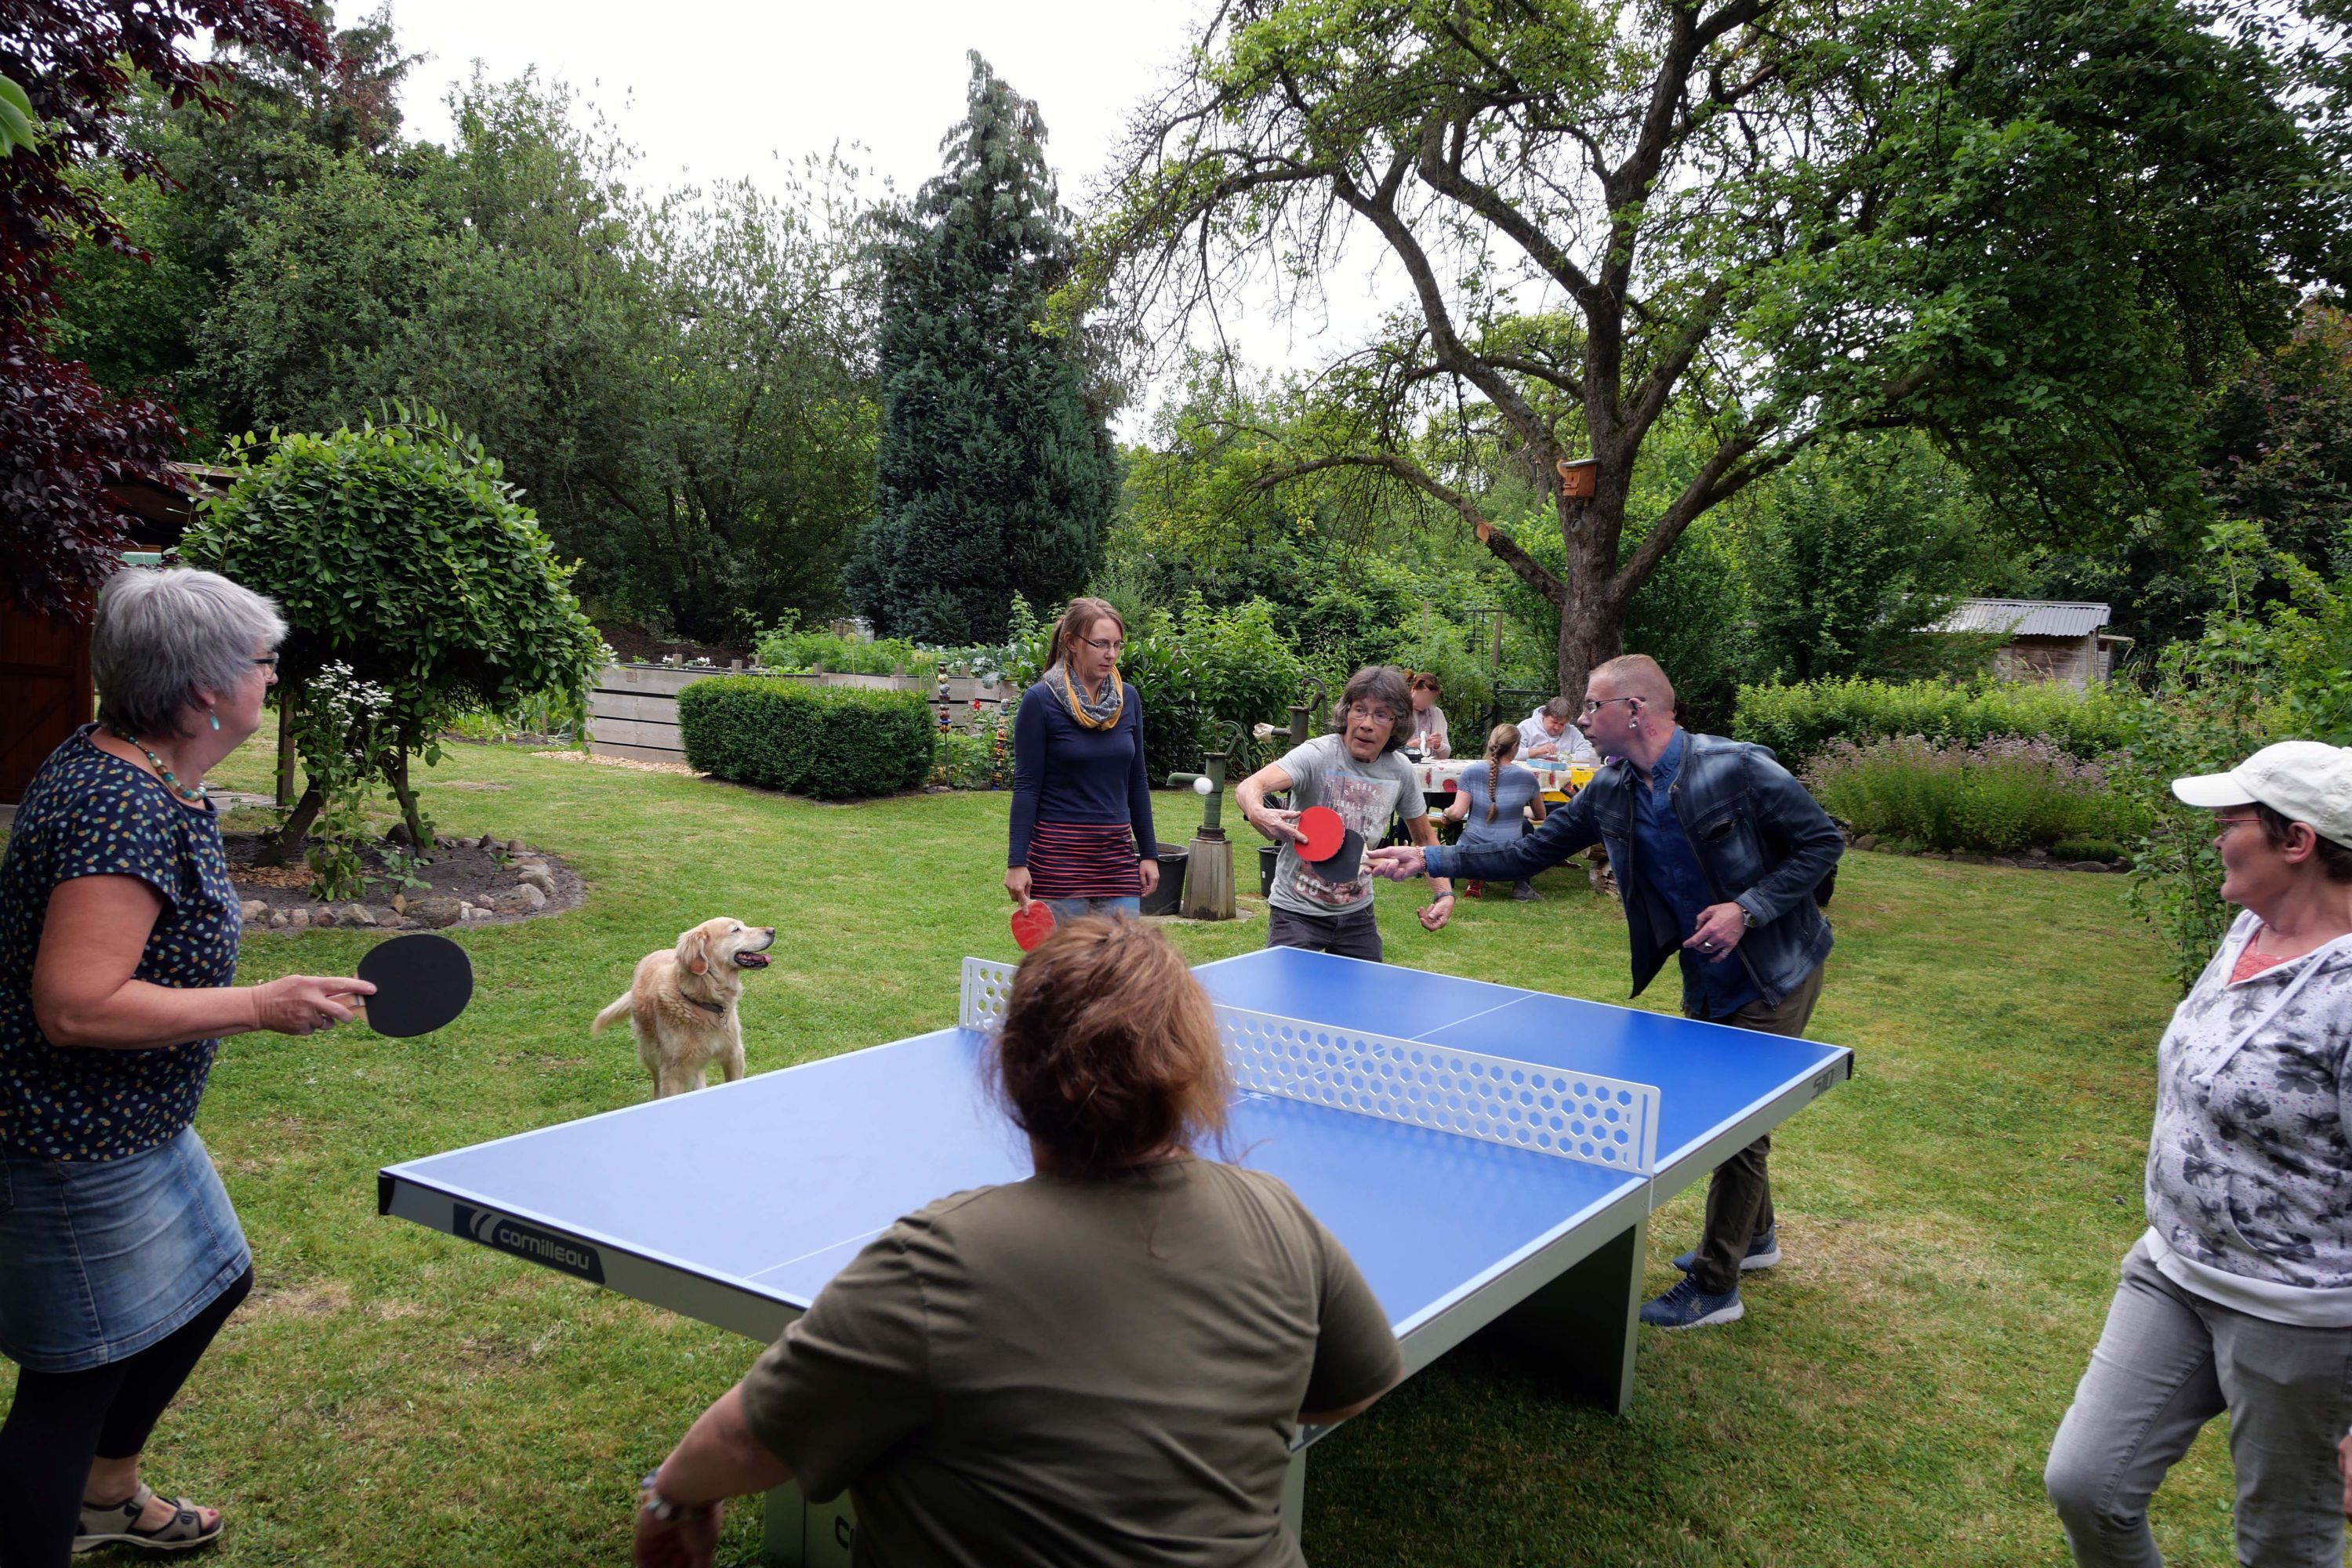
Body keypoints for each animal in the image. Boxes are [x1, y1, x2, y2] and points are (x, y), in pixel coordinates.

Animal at [593, 912, 776, 1100]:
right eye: (736, 929)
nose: (772, 930)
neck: (703, 1002)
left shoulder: (733, 1055)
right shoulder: (672, 1070)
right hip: (651, 1054)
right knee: (657, 1083)